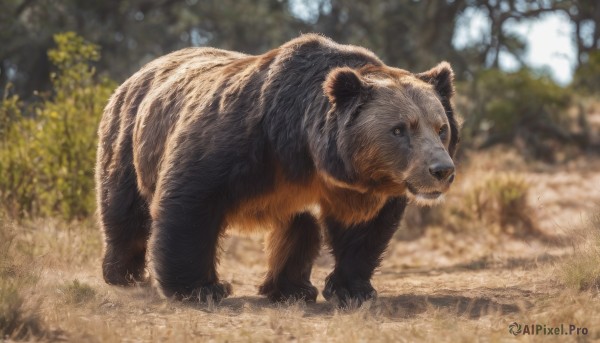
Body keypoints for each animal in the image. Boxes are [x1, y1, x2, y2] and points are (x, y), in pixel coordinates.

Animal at [96, 34, 458, 306]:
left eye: (441, 128)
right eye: (399, 129)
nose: (441, 170)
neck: (303, 147)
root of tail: (138, 73)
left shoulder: (354, 187)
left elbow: (363, 229)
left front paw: (354, 290)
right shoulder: (239, 141)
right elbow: (190, 203)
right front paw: (200, 288)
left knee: (298, 227)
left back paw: (291, 289)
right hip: (128, 138)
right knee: (124, 211)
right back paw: (124, 276)